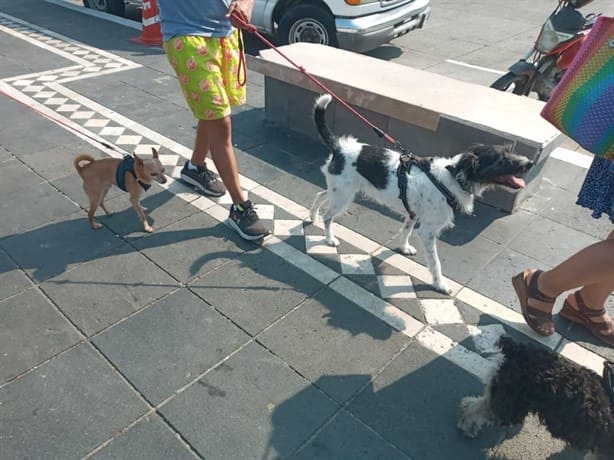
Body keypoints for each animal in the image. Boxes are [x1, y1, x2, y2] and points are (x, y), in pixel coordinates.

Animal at [310, 94, 536, 292]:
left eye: (510, 152)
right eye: (501, 159)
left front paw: (403, 248)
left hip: (340, 191)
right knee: (328, 216)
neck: (452, 177)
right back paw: (329, 238)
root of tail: (340, 147)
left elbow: (405, 231)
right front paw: (440, 284)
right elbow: (435, 263)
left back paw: (311, 217)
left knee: (320, 196)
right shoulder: (428, 231)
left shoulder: (413, 215)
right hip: (342, 196)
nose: (530, 163)